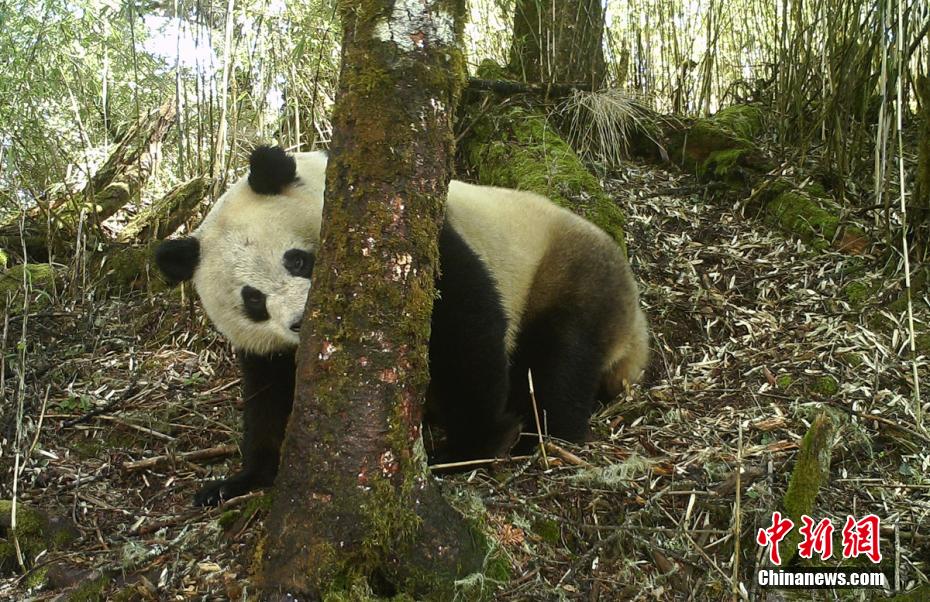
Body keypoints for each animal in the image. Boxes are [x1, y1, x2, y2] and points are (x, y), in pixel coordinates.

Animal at [154, 145, 644, 502]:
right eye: (253, 299)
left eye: (296, 259)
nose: (300, 321)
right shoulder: (268, 349)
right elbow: (270, 397)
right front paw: (242, 479)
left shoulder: (420, 240)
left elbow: (466, 331)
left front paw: (473, 445)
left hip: (565, 272)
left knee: (559, 357)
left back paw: (541, 436)